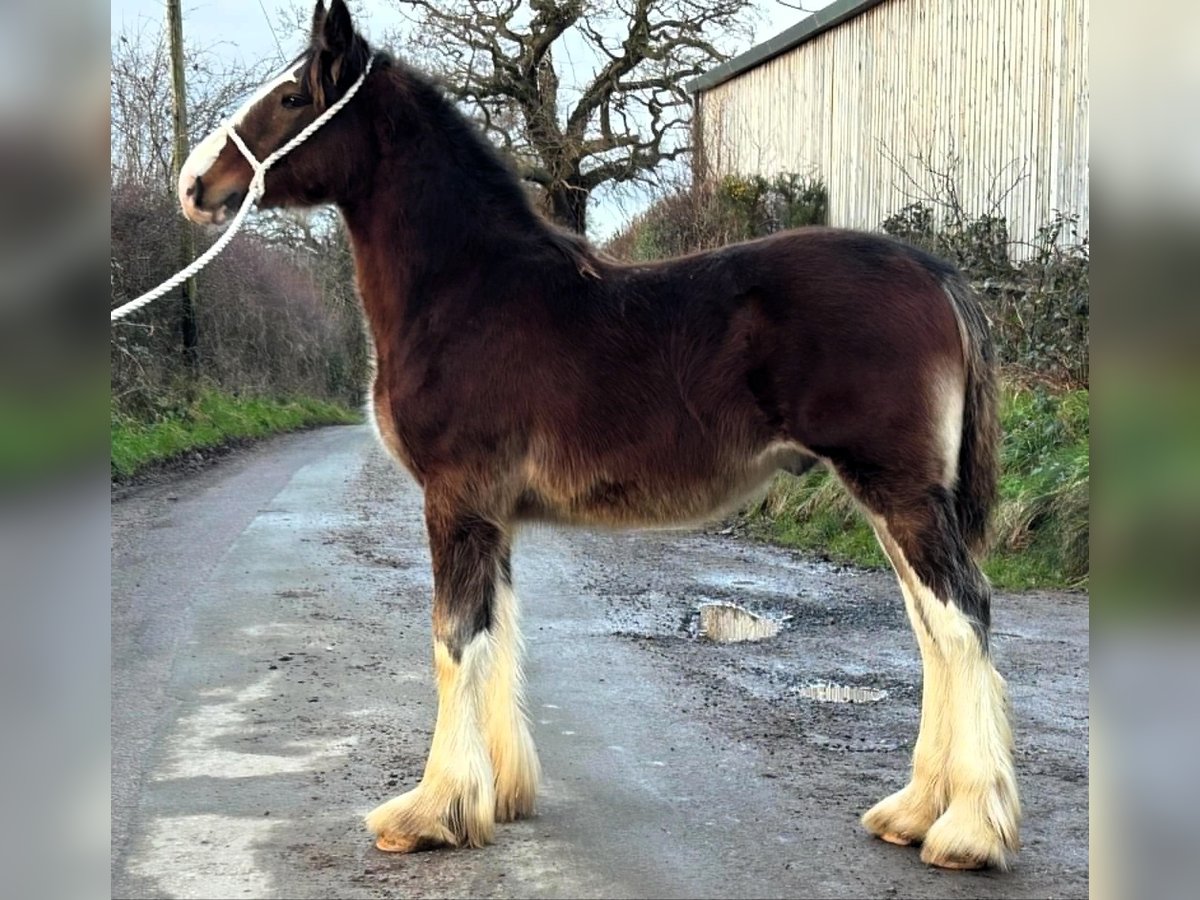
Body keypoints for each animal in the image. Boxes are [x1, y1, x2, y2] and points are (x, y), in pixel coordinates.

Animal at [177, 0, 1022, 873]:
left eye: (291, 98)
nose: (195, 186)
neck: (468, 289)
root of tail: (937, 275)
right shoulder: (492, 513)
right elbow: (497, 635)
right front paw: (499, 796)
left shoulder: (456, 498)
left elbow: (455, 641)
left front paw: (433, 812)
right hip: (897, 497)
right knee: (933, 631)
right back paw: (915, 811)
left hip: (899, 491)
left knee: (960, 621)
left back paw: (966, 831)